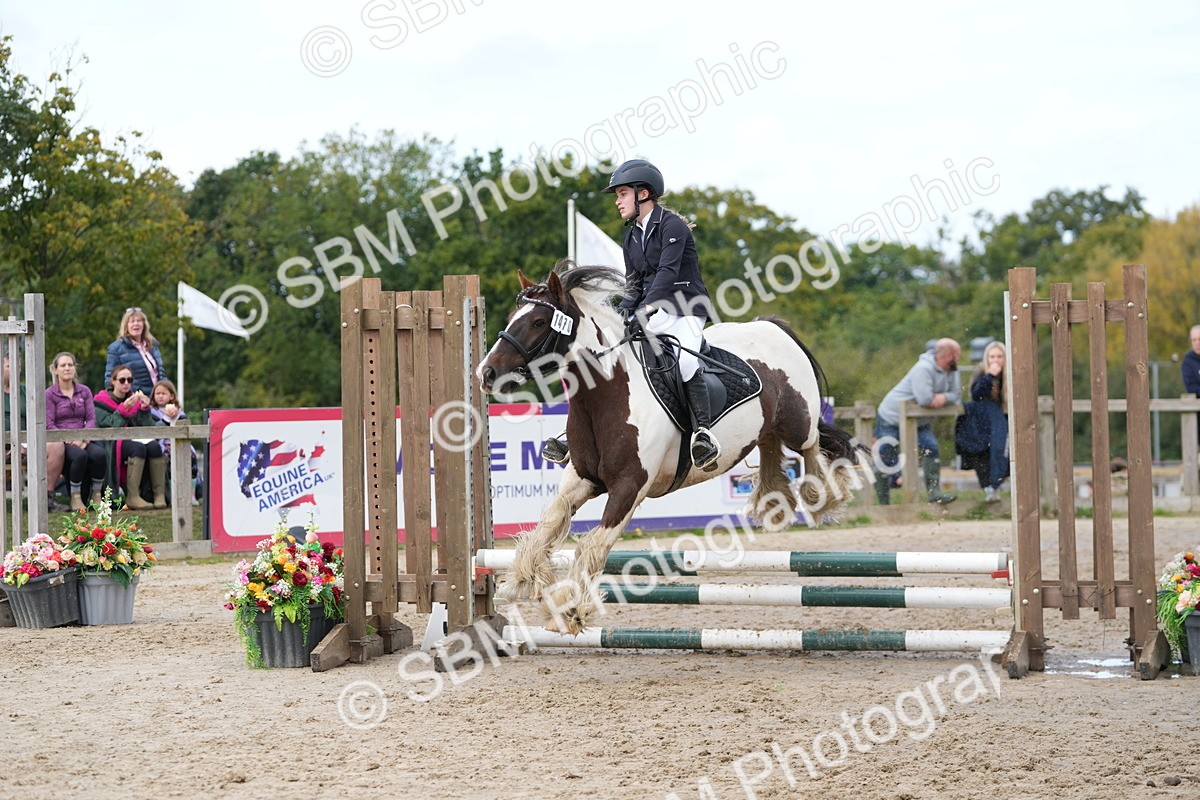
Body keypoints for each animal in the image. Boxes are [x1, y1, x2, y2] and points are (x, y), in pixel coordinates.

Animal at [475, 263, 867, 633]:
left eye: (539, 321)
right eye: (513, 317)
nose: (486, 373)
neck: (607, 394)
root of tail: (772, 328)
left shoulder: (630, 486)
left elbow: (593, 545)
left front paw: (569, 611)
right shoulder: (581, 478)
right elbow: (548, 524)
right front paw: (523, 578)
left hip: (798, 422)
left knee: (812, 446)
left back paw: (820, 498)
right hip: (765, 427)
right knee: (771, 446)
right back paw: (774, 504)